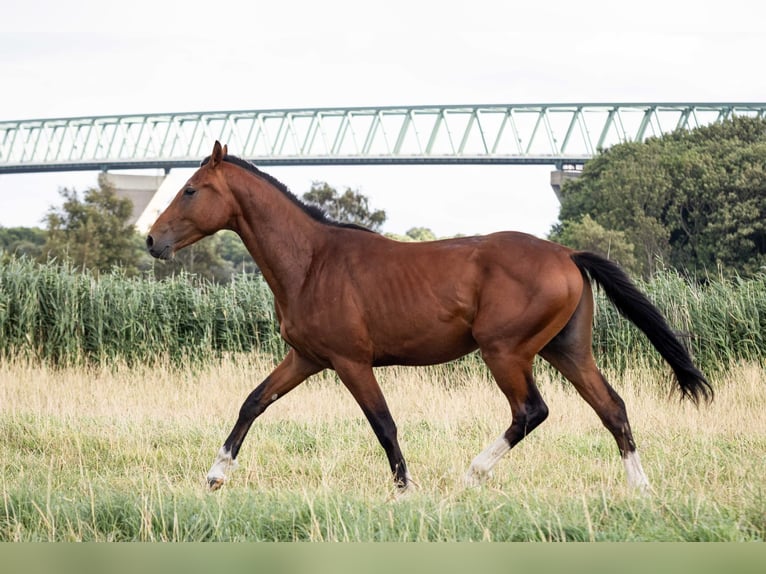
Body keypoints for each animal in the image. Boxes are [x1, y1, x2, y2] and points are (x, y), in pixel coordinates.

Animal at [146, 141, 712, 494]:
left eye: (190, 189)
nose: (152, 240)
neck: (311, 262)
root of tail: (568, 254)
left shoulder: (351, 362)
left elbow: (383, 424)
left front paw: (405, 488)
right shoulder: (306, 358)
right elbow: (253, 403)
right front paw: (216, 475)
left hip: (506, 352)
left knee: (531, 411)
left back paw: (472, 474)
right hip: (567, 350)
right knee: (612, 407)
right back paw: (640, 489)